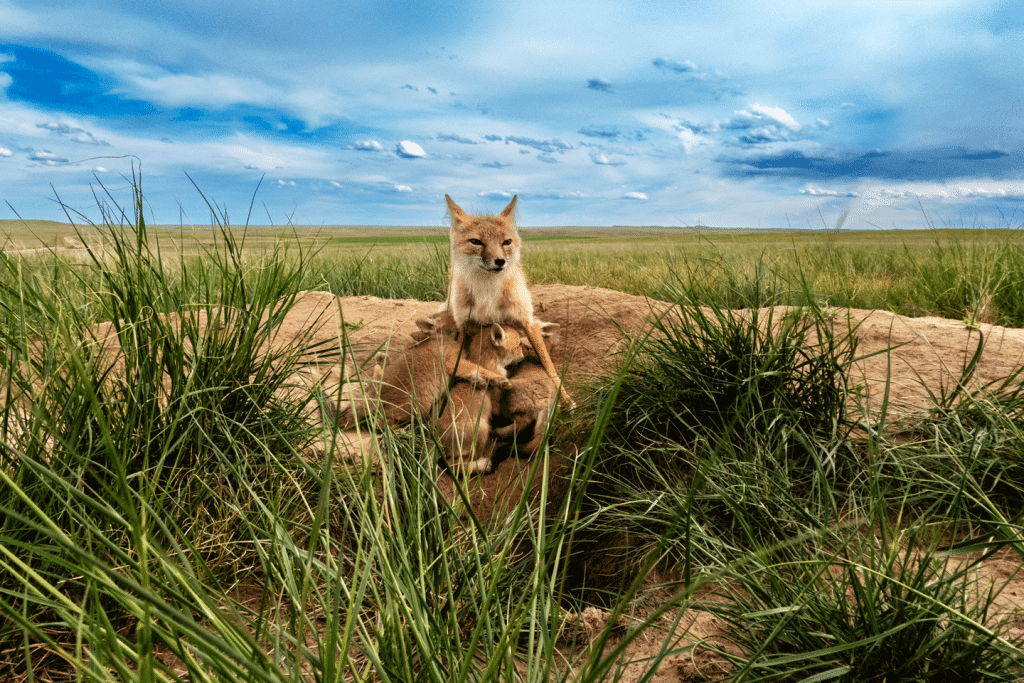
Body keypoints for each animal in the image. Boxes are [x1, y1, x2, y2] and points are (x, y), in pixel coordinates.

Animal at [438, 192, 573, 405]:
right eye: (476, 242)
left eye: (506, 242)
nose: (500, 261)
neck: (488, 291)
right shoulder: (464, 327)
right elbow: (460, 361)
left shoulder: (527, 321)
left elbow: (549, 366)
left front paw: (565, 398)